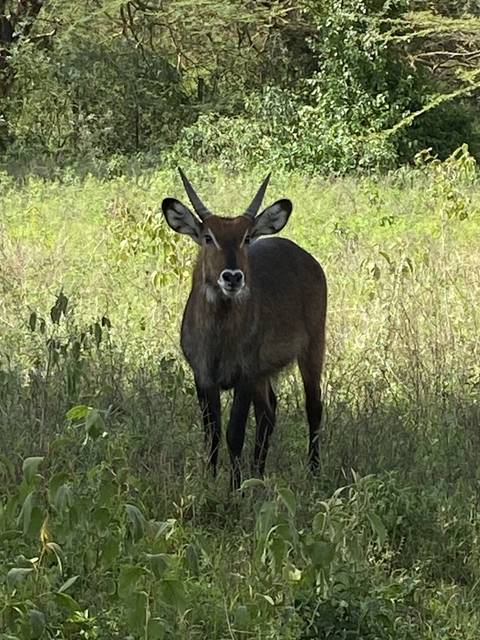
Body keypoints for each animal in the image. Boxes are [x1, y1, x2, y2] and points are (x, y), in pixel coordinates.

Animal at [162, 169, 327, 489]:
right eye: (208, 237)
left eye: (246, 237)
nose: (233, 277)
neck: (218, 338)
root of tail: (303, 255)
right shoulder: (203, 377)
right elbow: (211, 434)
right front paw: (209, 483)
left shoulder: (245, 375)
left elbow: (234, 434)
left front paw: (233, 489)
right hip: (266, 373)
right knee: (269, 411)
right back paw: (258, 475)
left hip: (313, 347)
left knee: (313, 407)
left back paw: (313, 474)